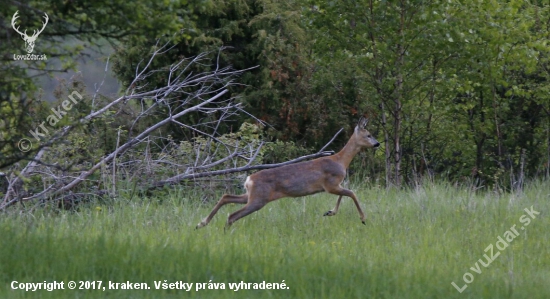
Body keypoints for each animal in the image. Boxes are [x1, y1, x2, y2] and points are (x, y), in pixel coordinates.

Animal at [196, 117, 382, 230]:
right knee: (232, 215)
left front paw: (330, 212)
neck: (341, 161)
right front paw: (363, 218)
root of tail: (249, 179)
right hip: (258, 199)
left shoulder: (333, 185)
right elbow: (352, 193)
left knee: (226, 197)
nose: (378, 144)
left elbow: (345, 195)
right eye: (368, 134)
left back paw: (202, 223)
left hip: (251, 195)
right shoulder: (330, 184)